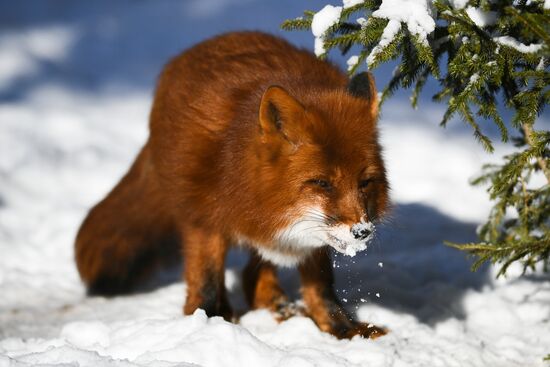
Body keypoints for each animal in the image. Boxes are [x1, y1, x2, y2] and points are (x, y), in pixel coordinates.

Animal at [74, 30, 392, 340]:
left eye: (365, 182)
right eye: (322, 183)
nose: (362, 231)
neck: (232, 167)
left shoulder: (306, 238)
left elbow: (321, 287)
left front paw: (343, 330)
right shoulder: (202, 219)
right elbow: (205, 283)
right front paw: (208, 323)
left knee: (254, 275)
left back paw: (278, 306)